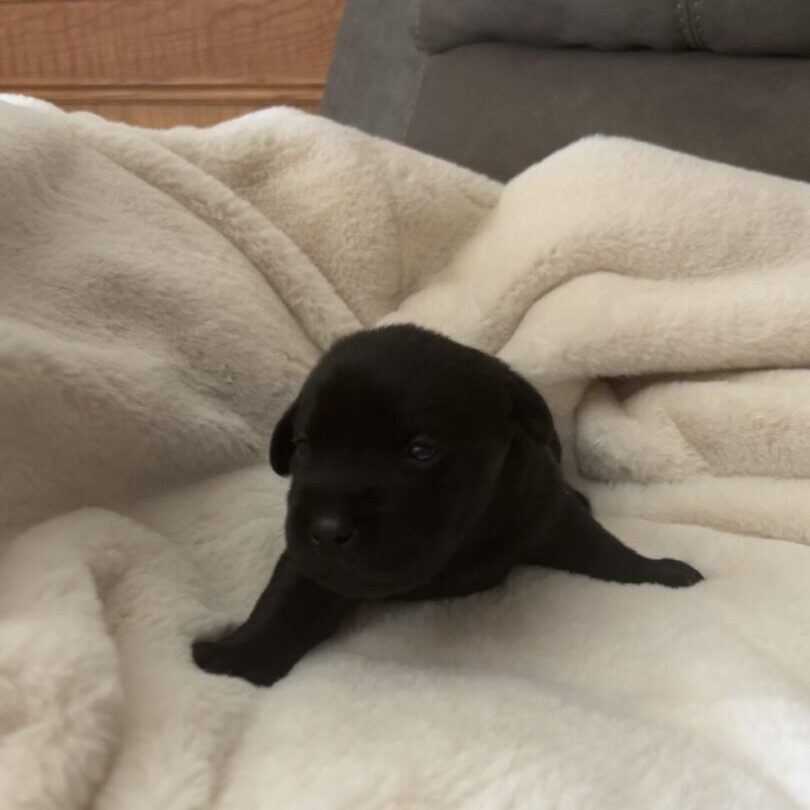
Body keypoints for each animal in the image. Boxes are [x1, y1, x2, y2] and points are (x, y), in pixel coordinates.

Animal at [193, 322, 696, 680]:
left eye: (420, 451)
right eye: (302, 447)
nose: (327, 529)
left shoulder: (546, 507)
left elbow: (605, 549)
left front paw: (661, 572)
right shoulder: (312, 558)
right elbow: (287, 598)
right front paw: (238, 656)